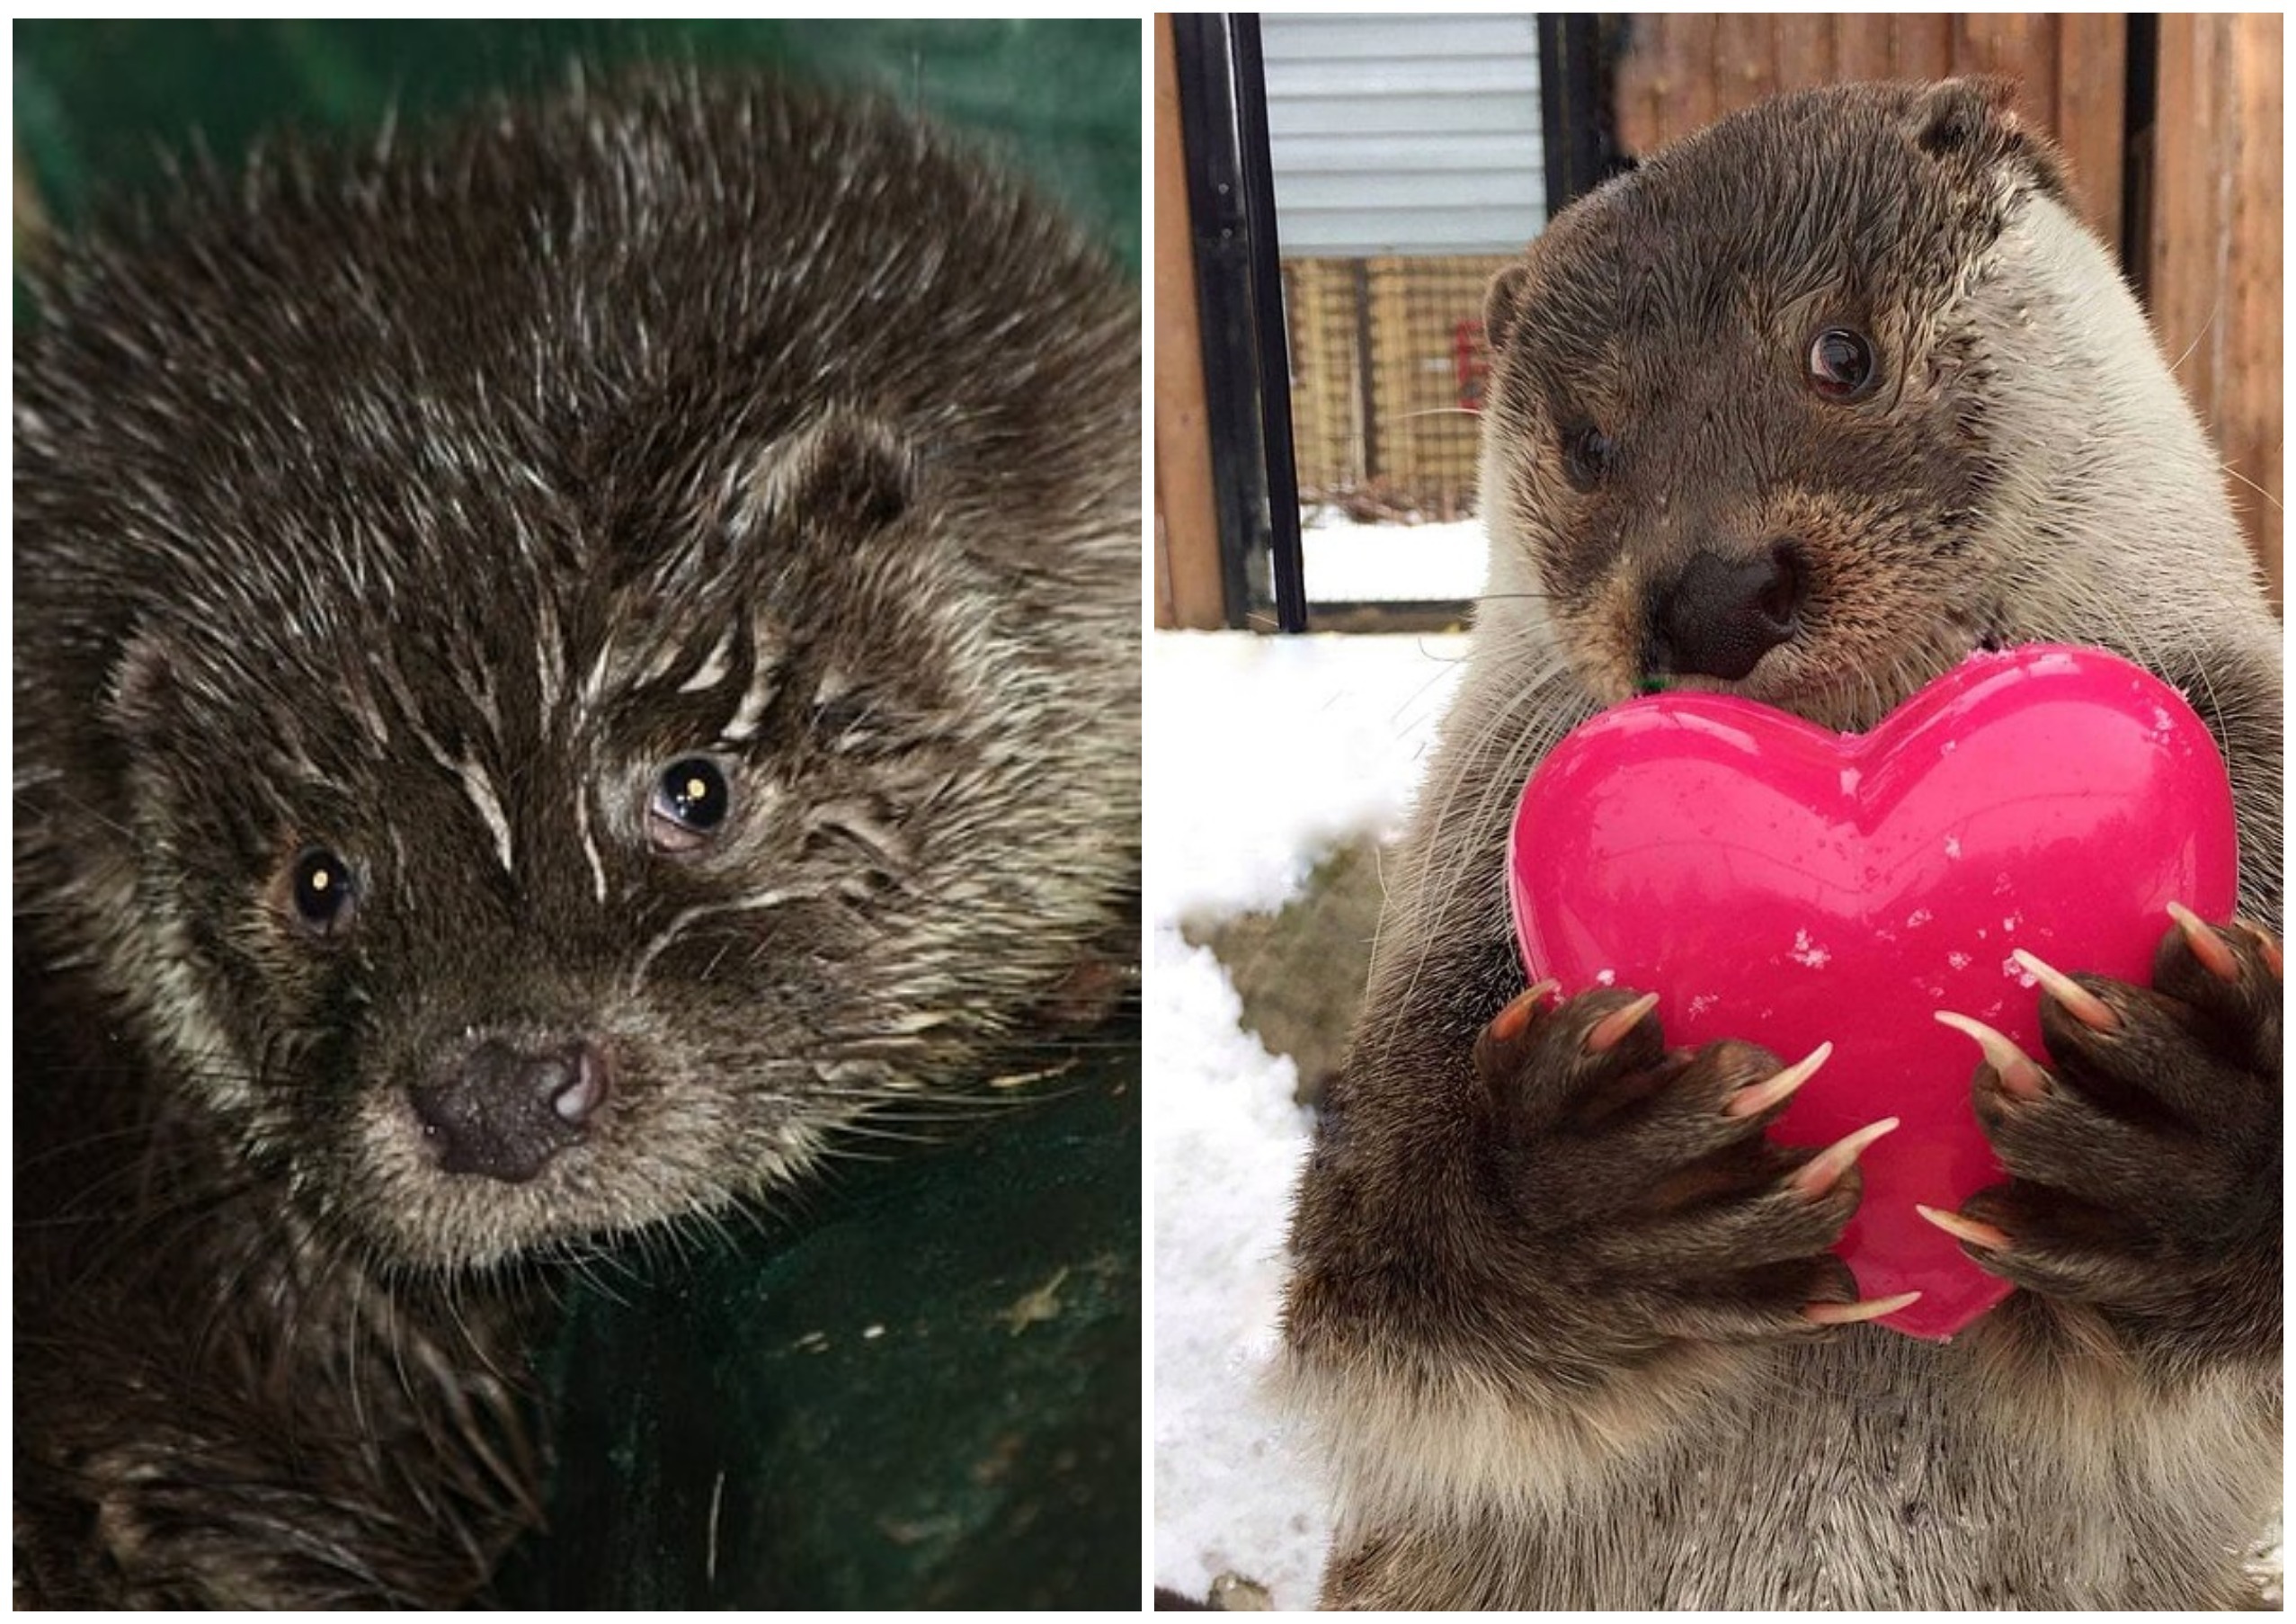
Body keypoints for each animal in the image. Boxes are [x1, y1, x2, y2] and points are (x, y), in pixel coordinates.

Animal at [1277, 79, 2277, 1617]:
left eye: (1840, 353)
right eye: (1586, 444)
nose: (1712, 592)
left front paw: (2172, 1112)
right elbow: (1373, 1295)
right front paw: (1614, 1168)